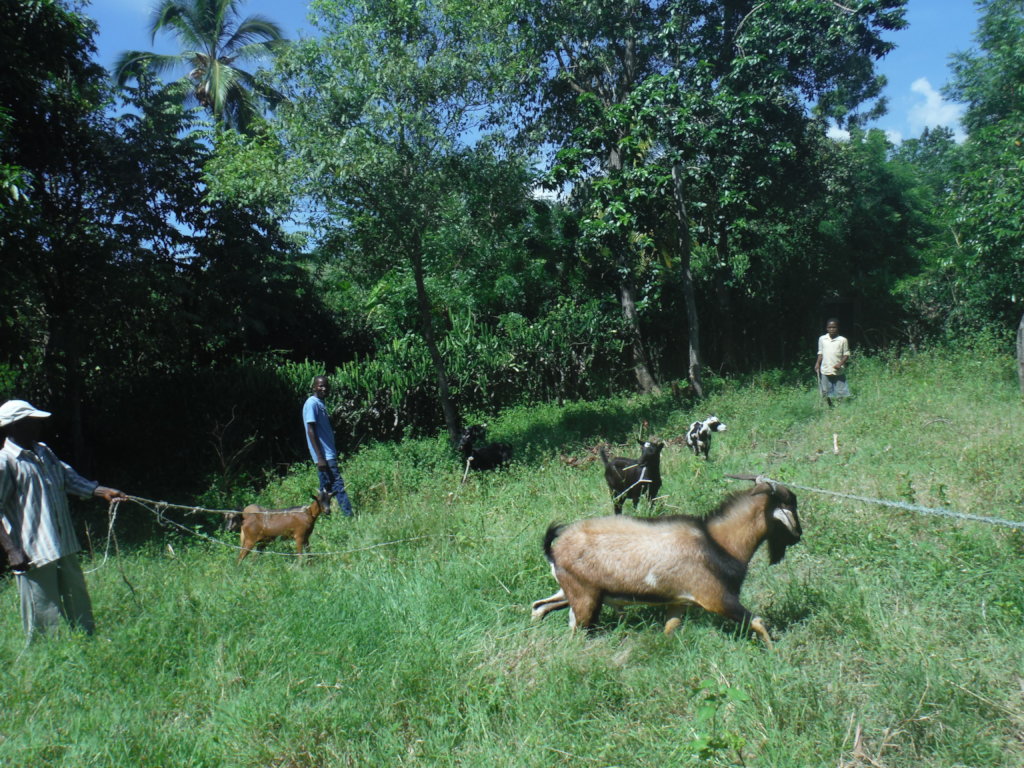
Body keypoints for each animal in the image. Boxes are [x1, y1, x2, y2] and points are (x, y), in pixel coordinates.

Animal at [532, 481, 802, 651]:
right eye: (791, 507)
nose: (798, 535)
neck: (717, 543)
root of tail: (554, 550)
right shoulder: (716, 597)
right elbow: (757, 621)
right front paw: (775, 652)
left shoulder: (678, 601)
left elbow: (670, 628)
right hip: (585, 598)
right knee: (578, 627)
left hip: (571, 591)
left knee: (540, 606)